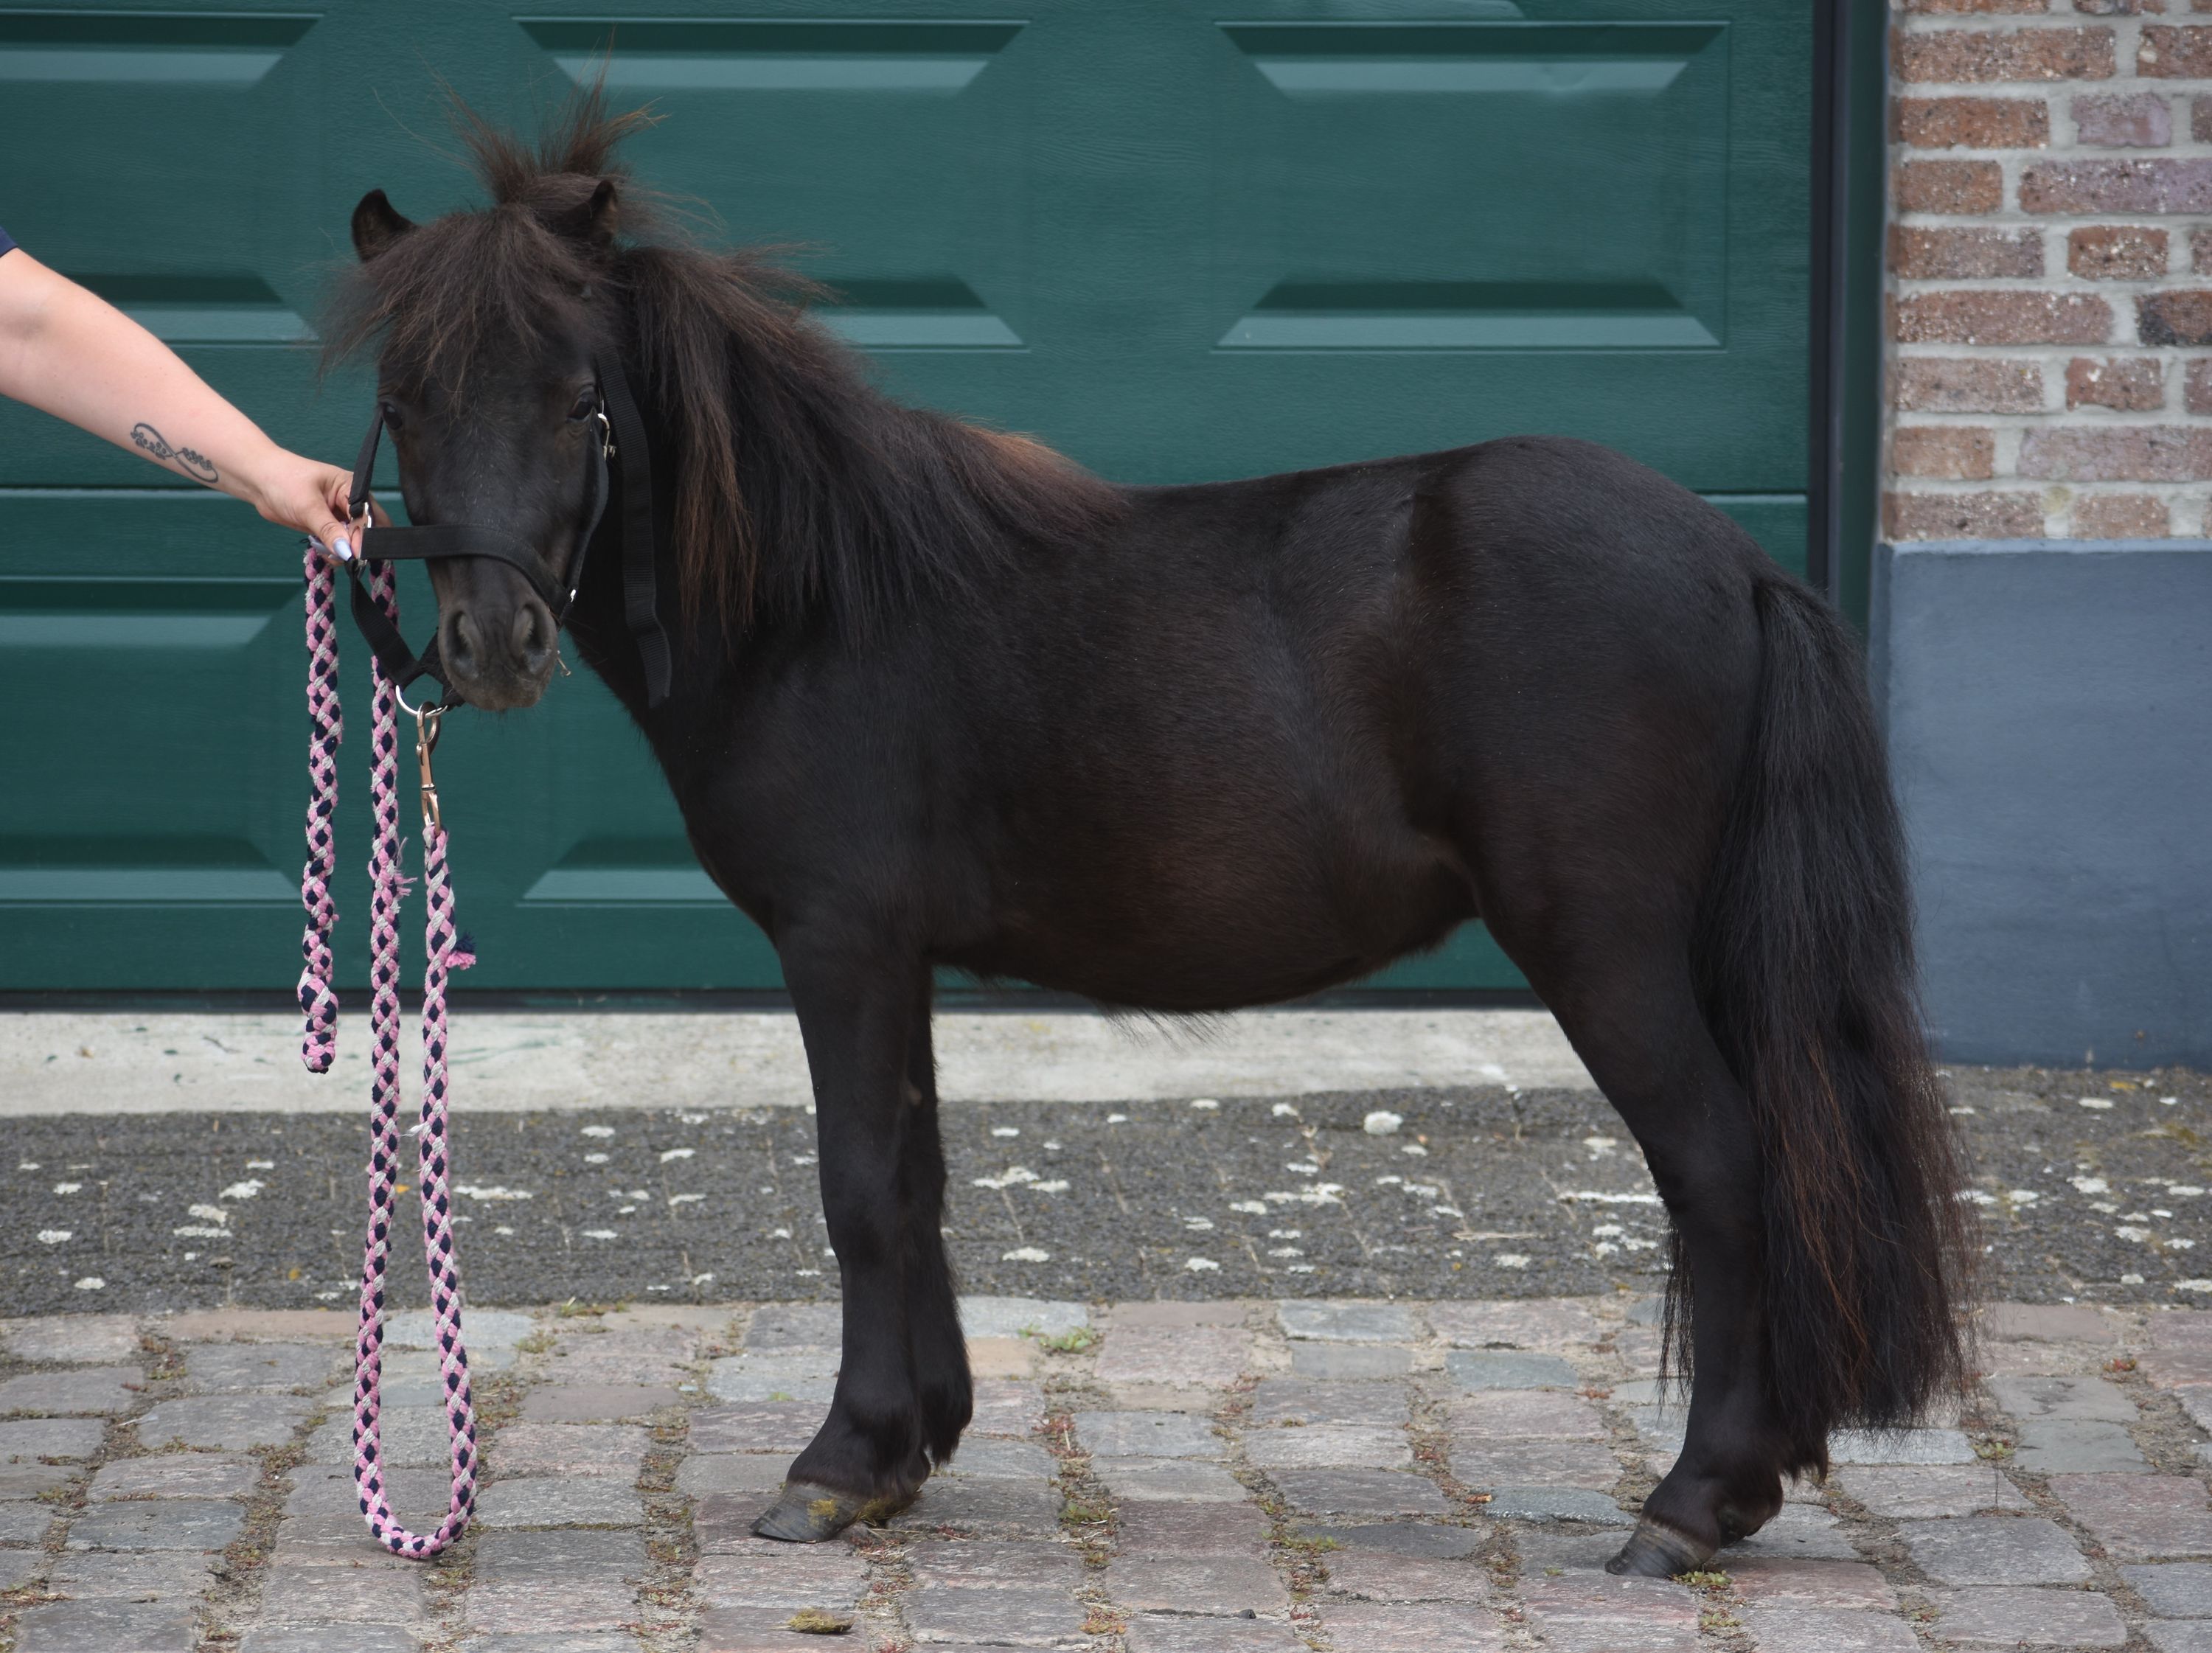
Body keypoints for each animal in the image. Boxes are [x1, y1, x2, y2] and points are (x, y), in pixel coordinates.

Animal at [330, 91, 1969, 1576]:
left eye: (576, 393)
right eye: (405, 401)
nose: (491, 642)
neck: (820, 604)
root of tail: (1738, 558)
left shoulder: (840, 938)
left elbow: (857, 1183)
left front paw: (837, 1465)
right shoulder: (899, 955)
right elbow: (914, 1177)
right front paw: (910, 1442)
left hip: (1608, 951)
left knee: (1725, 1167)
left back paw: (1694, 1500)